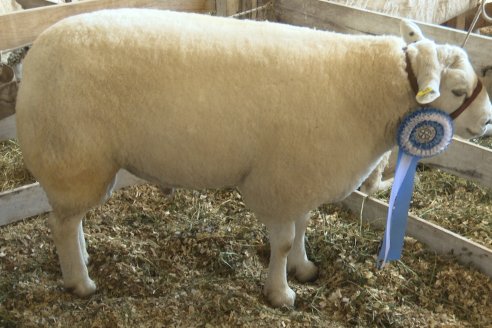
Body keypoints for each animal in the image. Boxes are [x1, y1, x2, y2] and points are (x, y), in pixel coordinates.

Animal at [15, 10, 492, 308]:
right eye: (455, 90)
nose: (486, 122)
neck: (369, 89)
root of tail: (36, 53)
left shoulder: (303, 175)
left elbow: (303, 226)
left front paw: (304, 267)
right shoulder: (280, 180)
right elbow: (280, 241)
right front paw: (280, 293)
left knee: (69, 221)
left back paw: (82, 261)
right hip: (74, 158)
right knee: (61, 224)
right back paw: (80, 282)